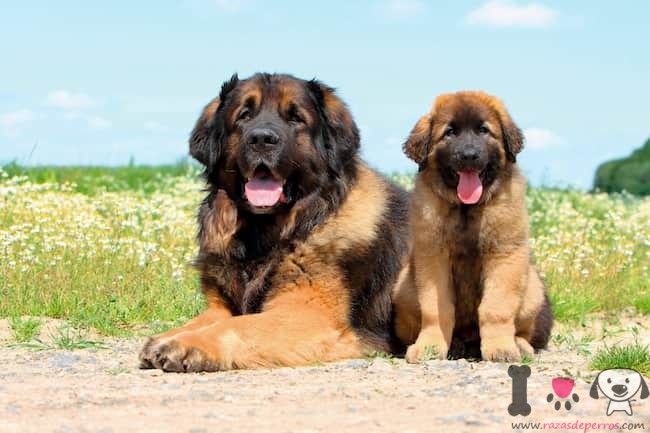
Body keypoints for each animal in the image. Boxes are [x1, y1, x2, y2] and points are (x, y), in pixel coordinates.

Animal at [139, 74, 408, 372]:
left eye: (296, 118)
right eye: (244, 115)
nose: (261, 139)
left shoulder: (309, 314)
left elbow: (238, 326)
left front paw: (185, 345)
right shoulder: (220, 307)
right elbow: (205, 321)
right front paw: (169, 337)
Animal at [390, 91, 552, 362]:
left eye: (483, 130)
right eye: (450, 132)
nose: (468, 155)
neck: (466, 209)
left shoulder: (505, 255)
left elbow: (496, 308)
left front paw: (500, 348)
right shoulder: (433, 258)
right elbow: (436, 309)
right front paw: (430, 346)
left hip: (532, 289)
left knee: (523, 329)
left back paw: (518, 344)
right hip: (404, 288)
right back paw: (453, 344)